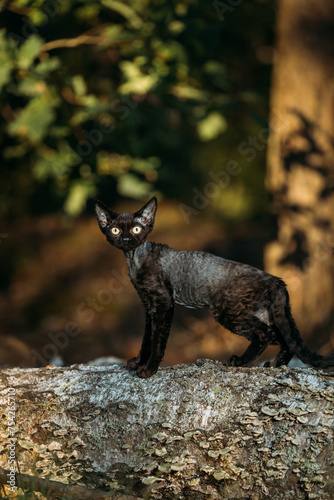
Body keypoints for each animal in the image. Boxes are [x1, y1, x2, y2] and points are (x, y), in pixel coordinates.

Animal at [94, 197, 334, 376]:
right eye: (115, 230)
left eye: (136, 229)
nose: (126, 239)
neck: (134, 257)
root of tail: (276, 280)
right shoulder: (148, 306)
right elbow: (146, 338)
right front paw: (138, 362)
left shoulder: (163, 303)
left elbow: (158, 339)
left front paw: (149, 369)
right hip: (262, 313)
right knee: (284, 338)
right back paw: (275, 365)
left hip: (228, 312)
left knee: (265, 335)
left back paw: (239, 362)